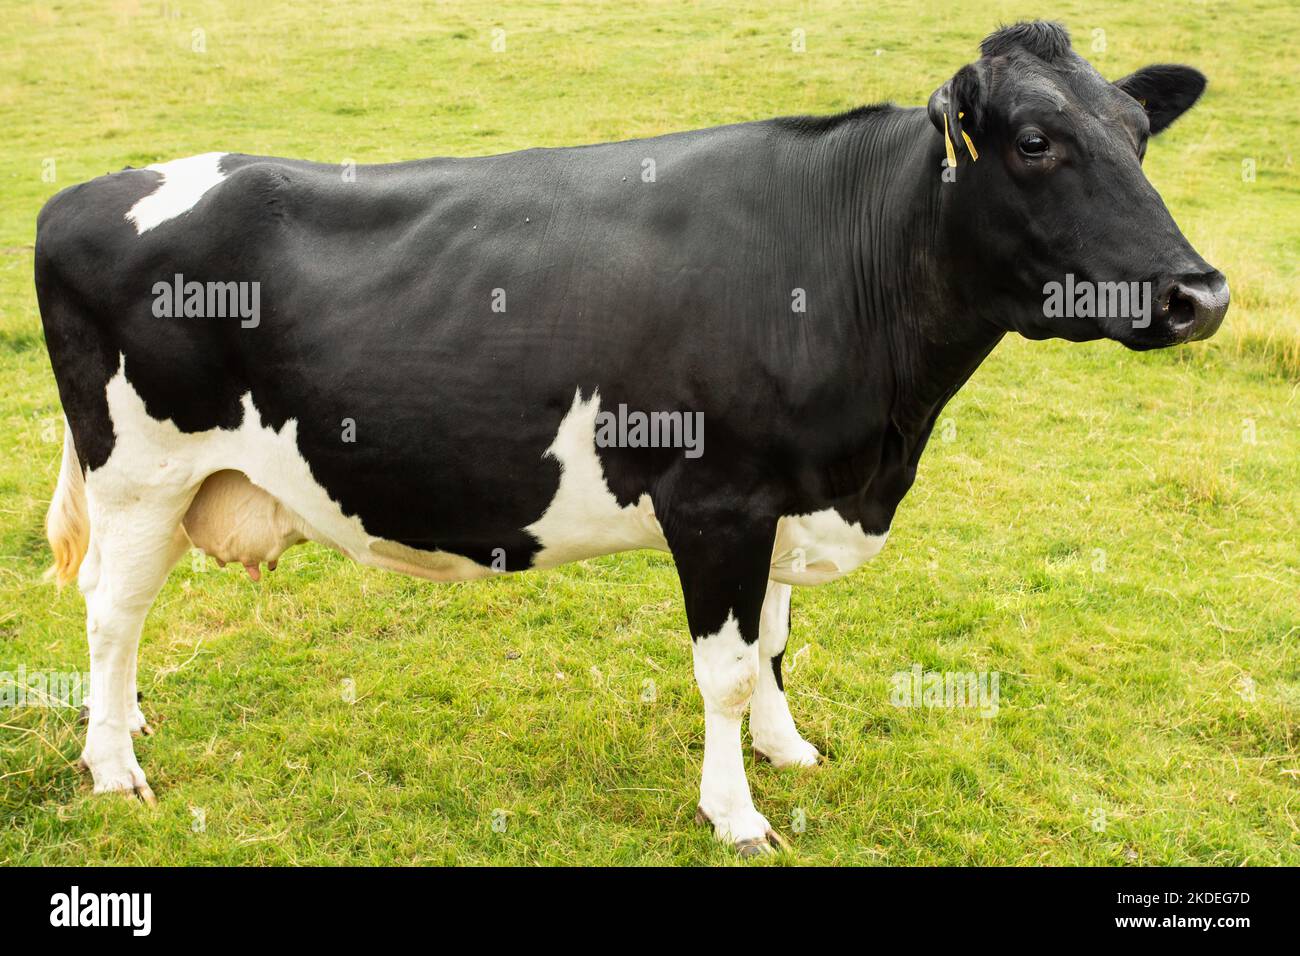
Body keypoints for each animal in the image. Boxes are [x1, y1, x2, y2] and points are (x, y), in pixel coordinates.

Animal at [32, 22, 1227, 858]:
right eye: (1032, 141)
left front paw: (788, 749)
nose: (1199, 294)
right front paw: (737, 813)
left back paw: (125, 726)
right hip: (141, 470)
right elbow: (729, 669)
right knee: (111, 610)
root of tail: (87, 191)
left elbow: (778, 640)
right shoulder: (718, 502)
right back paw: (111, 767)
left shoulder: (789, 498)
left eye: (1138, 134)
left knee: (123, 612)